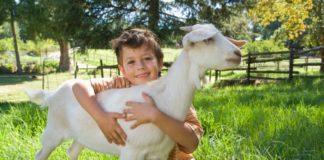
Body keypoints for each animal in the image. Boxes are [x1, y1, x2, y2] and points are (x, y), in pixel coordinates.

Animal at [26, 23, 243, 160]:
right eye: (207, 40)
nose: (238, 54)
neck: (163, 98)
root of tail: (51, 95)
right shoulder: (131, 151)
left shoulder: (159, 154)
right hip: (53, 131)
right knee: (40, 154)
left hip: (81, 136)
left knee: (71, 152)